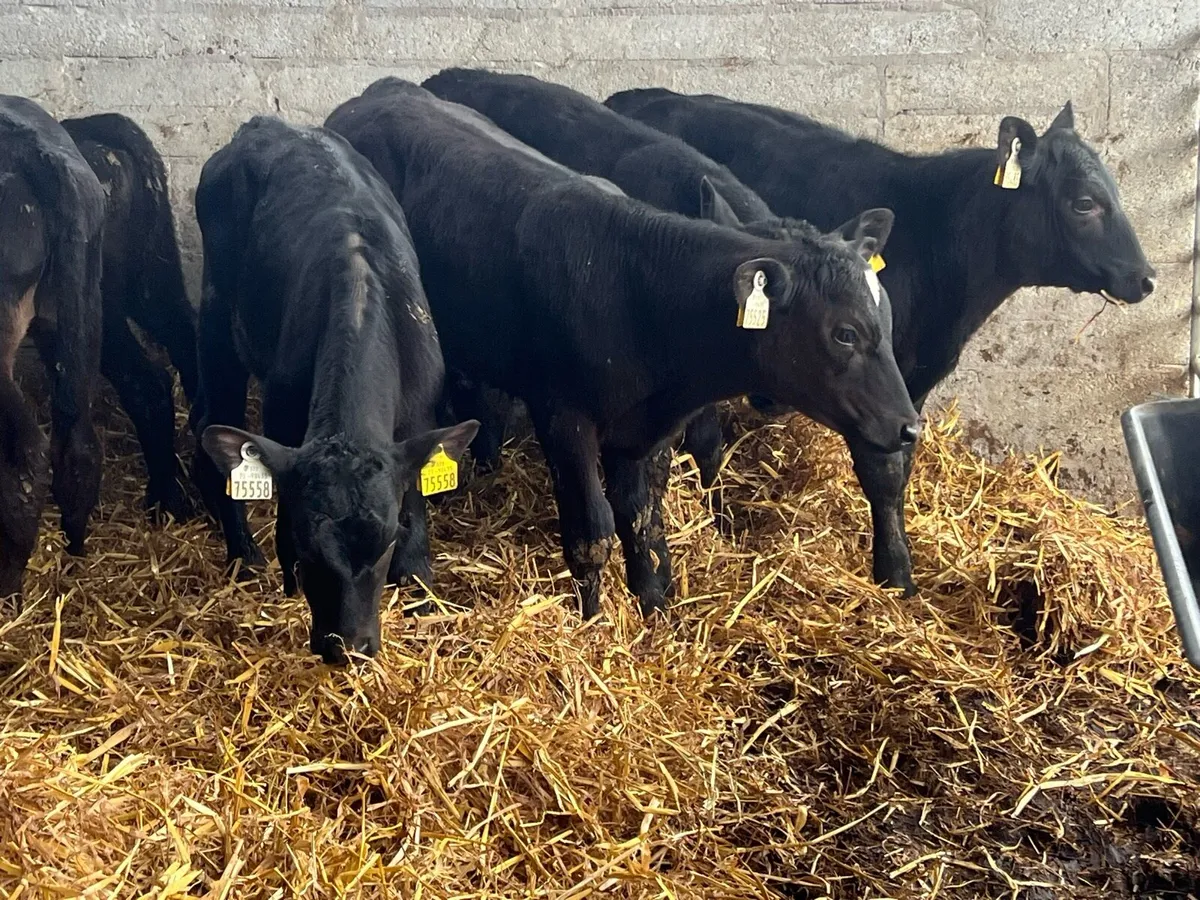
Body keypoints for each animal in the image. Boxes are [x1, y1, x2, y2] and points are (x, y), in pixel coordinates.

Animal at [190, 115, 478, 663]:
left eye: (386, 544)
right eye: (307, 551)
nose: (347, 646)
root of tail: (265, 124)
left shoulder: (419, 419)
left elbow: (417, 501)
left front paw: (420, 586)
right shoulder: (283, 419)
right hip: (218, 316)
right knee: (209, 420)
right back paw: (242, 549)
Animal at [325, 77, 919, 621]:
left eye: (888, 318)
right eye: (844, 333)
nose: (910, 426)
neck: (635, 290)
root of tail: (374, 93)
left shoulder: (645, 432)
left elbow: (642, 518)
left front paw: (655, 609)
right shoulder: (563, 416)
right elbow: (593, 530)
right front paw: (593, 619)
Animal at [606, 88, 1156, 597]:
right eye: (1084, 202)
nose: (1146, 277)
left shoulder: (910, 385)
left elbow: (902, 465)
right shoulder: (866, 387)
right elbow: (883, 472)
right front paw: (896, 574)